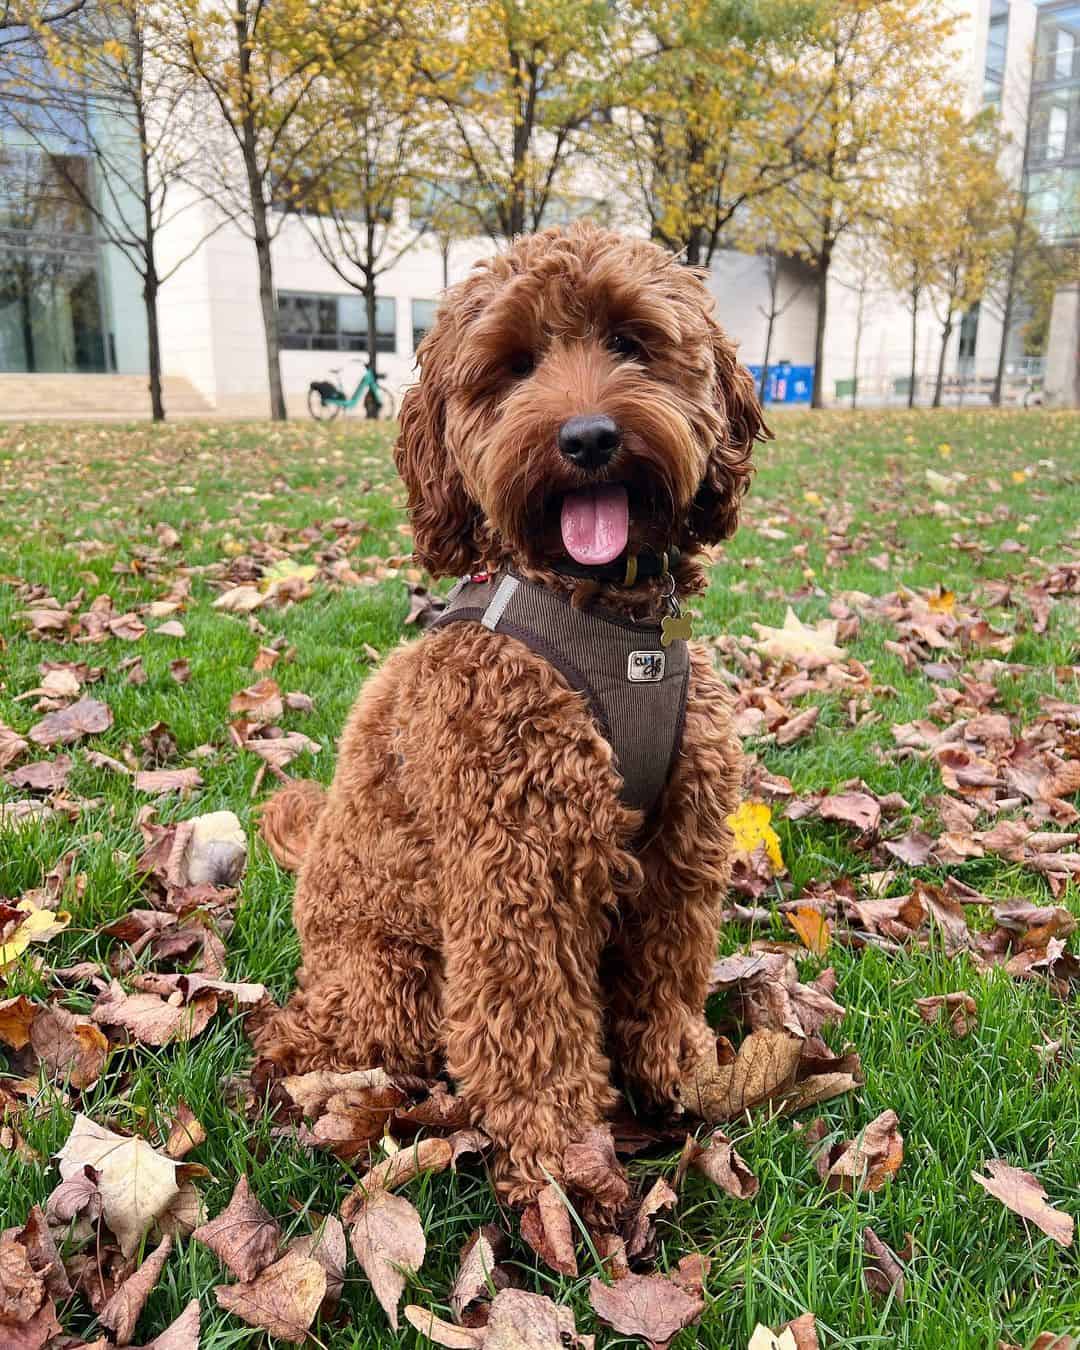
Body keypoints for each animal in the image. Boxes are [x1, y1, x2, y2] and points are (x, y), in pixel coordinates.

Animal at [255, 224, 766, 1204]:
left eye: (631, 341)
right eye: (515, 365)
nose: (589, 437)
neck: (607, 616)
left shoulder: (680, 844)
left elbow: (668, 969)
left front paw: (677, 1071)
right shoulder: (518, 857)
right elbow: (530, 1020)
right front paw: (560, 1153)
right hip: (390, 979)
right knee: (311, 1034)